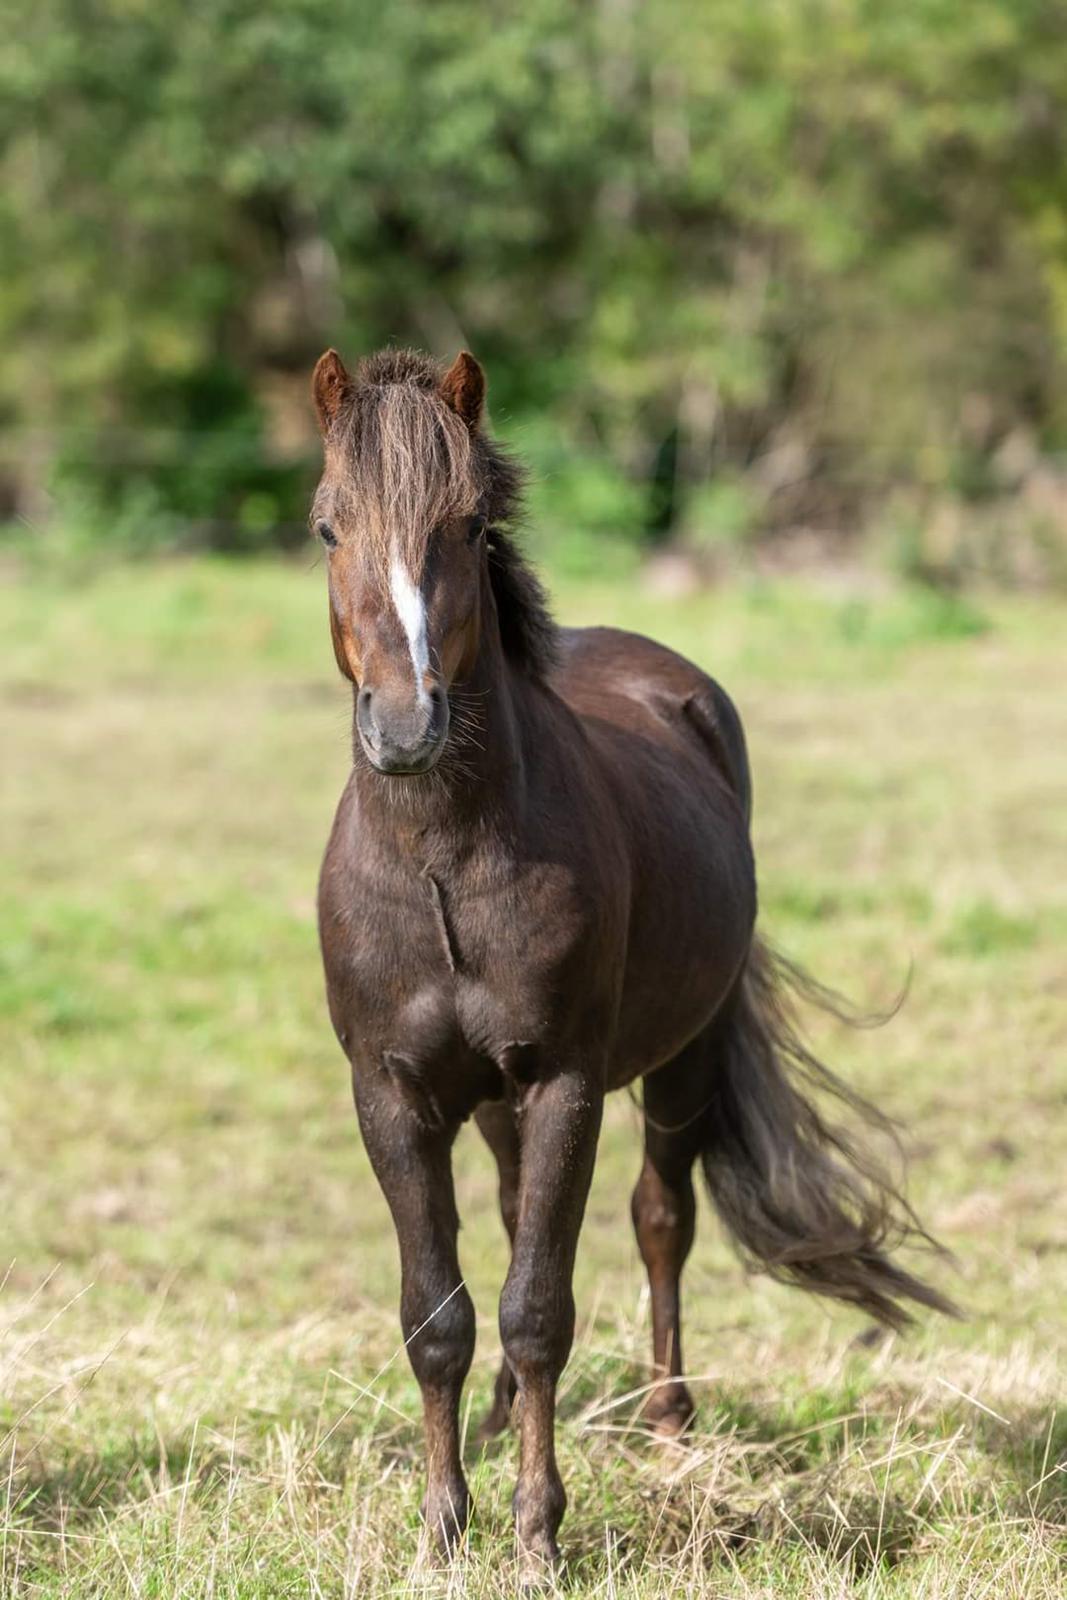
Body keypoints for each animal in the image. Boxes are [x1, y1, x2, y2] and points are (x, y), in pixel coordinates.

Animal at [307, 344, 953, 1580]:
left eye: (467, 524)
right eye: (325, 526)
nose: (406, 727)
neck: (445, 859)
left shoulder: (566, 1083)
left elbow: (538, 1309)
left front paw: (534, 1539)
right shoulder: (392, 1092)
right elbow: (438, 1313)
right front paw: (441, 1533)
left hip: (679, 1062)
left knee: (661, 1220)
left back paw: (667, 1423)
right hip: (496, 1095)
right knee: (514, 1214)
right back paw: (504, 1418)